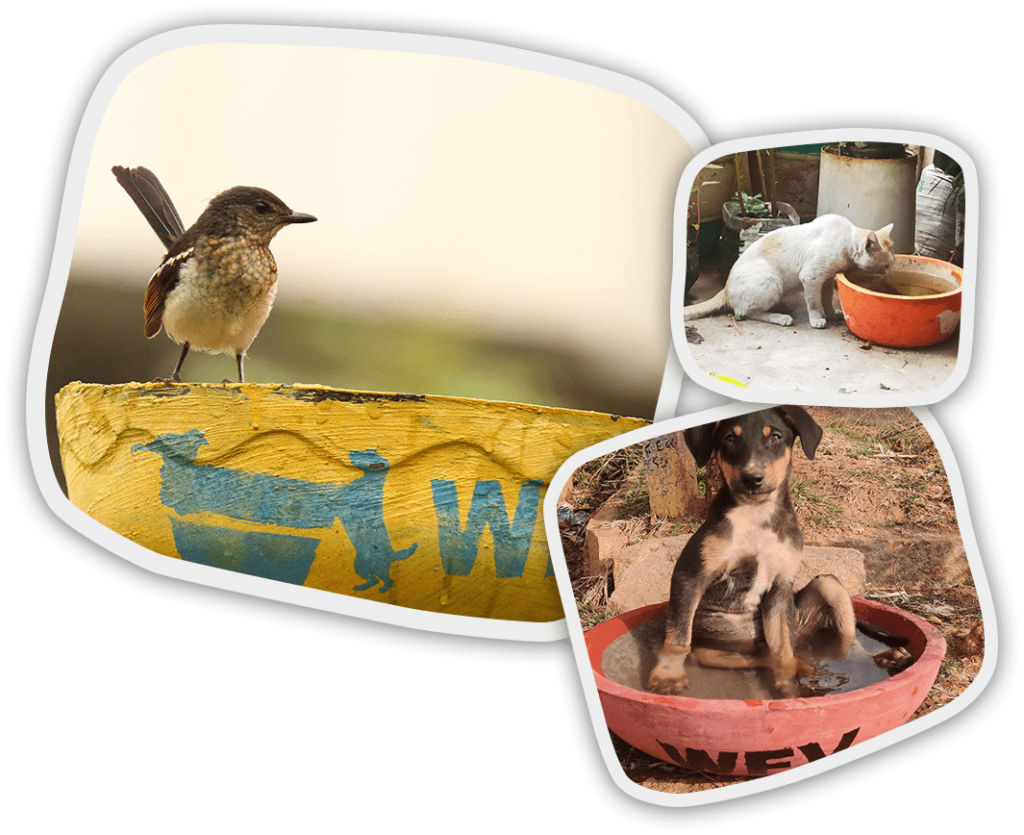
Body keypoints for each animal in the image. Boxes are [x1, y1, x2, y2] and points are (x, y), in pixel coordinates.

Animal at [647, 405, 856, 700]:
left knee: (831, 643)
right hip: (711, 652)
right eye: (729, 439)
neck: (756, 515)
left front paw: (789, 689)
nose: (752, 479)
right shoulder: (689, 575)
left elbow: (783, 652)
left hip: (827, 590)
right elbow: (677, 639)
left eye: (775, 437)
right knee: (760, 656)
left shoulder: (781, 586)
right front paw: (668, 676)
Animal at [688, 214, 897, 327]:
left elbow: (827, 299)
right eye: (886, 265)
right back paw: (781, 317)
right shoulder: (812, 277)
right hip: (771, 280)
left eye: (892, 264)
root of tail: (724, 288)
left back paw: (780, 307)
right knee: (746, 312)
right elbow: (813, 302)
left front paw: (830, 314)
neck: (846, 243)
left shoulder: (827, 278)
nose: (890, 272)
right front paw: (817, 320)